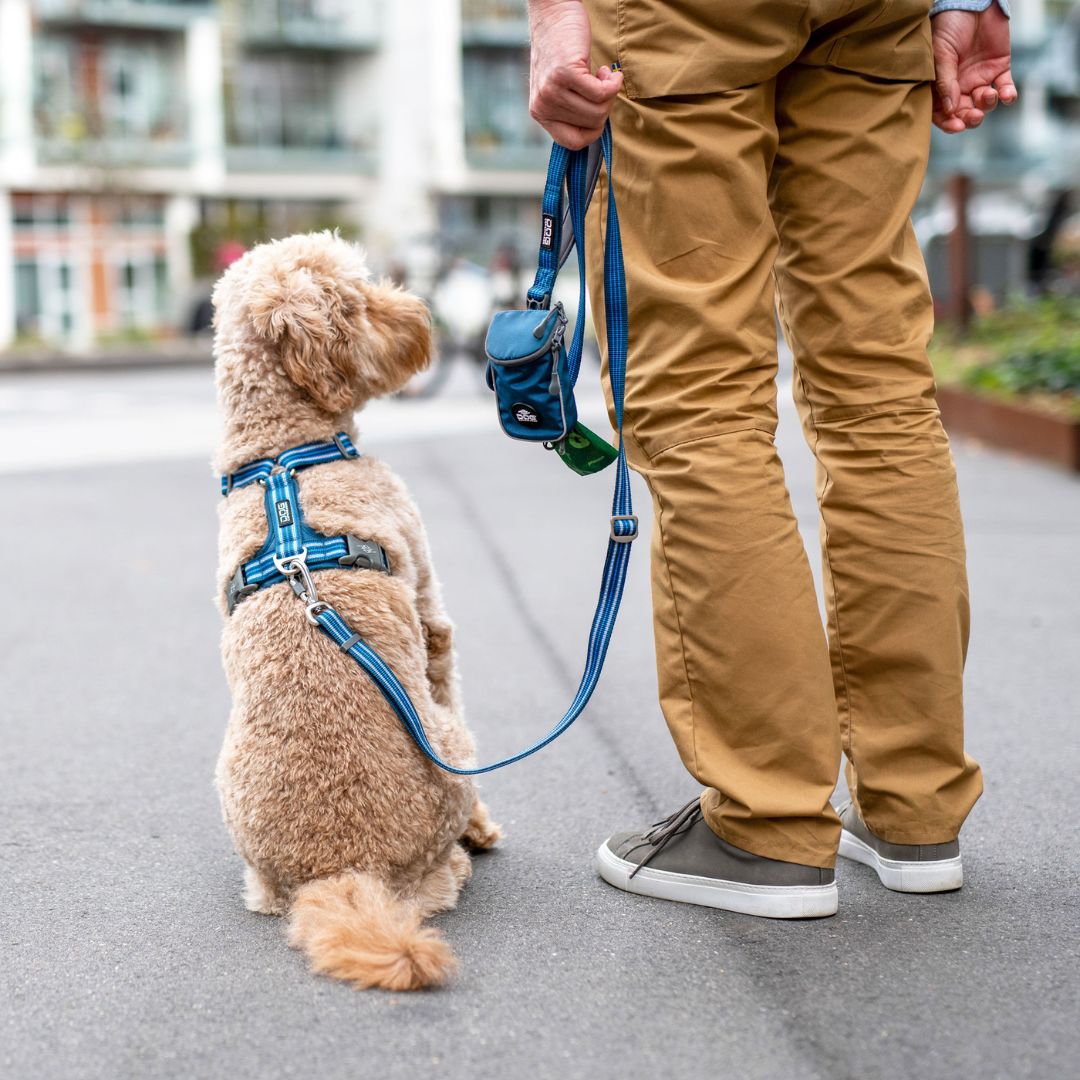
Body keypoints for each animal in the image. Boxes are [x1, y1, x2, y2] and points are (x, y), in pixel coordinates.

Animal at [210, 232, 501, 989]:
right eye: (354, 301)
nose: (421, 311)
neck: (282, 453)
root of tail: (342, 870)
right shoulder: (430, 611)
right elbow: (444, 666)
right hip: (451, 750)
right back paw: (467, 847)